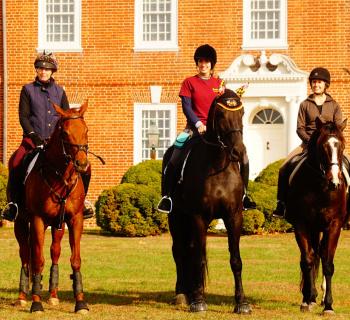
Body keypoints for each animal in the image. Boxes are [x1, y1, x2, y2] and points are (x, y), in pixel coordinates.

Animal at [13, 103, 90, 316]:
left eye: (86, 130)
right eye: (65, 133)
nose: (82, 163)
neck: (60, 176)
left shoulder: (75, 220)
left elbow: (75, 259)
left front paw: (80, 302)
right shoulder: (37, 220)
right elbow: (37, 261)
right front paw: (36, 303)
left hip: (58, 225)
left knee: (55, 251)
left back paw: (53, 295)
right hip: (21, 223)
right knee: (25, 255)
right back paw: (23, 296)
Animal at [164, 89, 252, 314]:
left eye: (242, 113)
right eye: (220, 115)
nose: (239, 151)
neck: (218, 165)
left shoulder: (234, 217)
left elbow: (236, 260)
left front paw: (241, 302)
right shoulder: (198, 217)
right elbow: (198, 258)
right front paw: (198, 301)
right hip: (176, 218)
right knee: (179, 251)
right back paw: (182, 293)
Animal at [286, 117, 348, 316]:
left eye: (342, 145)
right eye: (323, 146)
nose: (334, 182)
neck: (320, 187)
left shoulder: (334, 225)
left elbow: (328, 264)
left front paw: (328, 305)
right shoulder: (301, 225)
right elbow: (307, 260)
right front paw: (307, 300)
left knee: (320, 255)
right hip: (313, 229)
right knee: (312, 257)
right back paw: (311, 296)